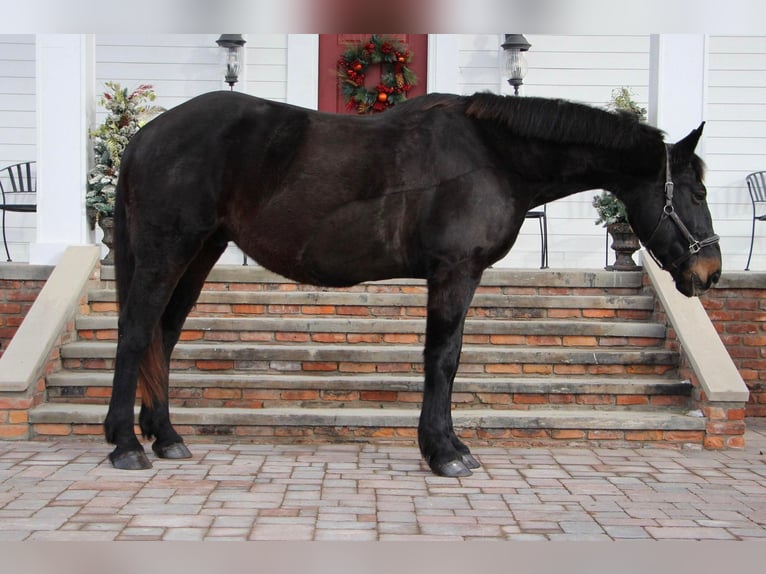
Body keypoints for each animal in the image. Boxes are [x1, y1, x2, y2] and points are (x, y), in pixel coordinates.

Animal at [105, 92, 724, 480]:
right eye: (695, 192)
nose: (709, 272)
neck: (491, 156)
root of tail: (144, 137)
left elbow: (445, 359)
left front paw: (448, 446)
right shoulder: (454, 271)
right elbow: (442, 359)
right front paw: (445, 453)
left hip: (201, 251)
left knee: (163, 335)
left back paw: (166, 437)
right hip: (168, 251)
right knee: (136, 333)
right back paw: (126, 445)